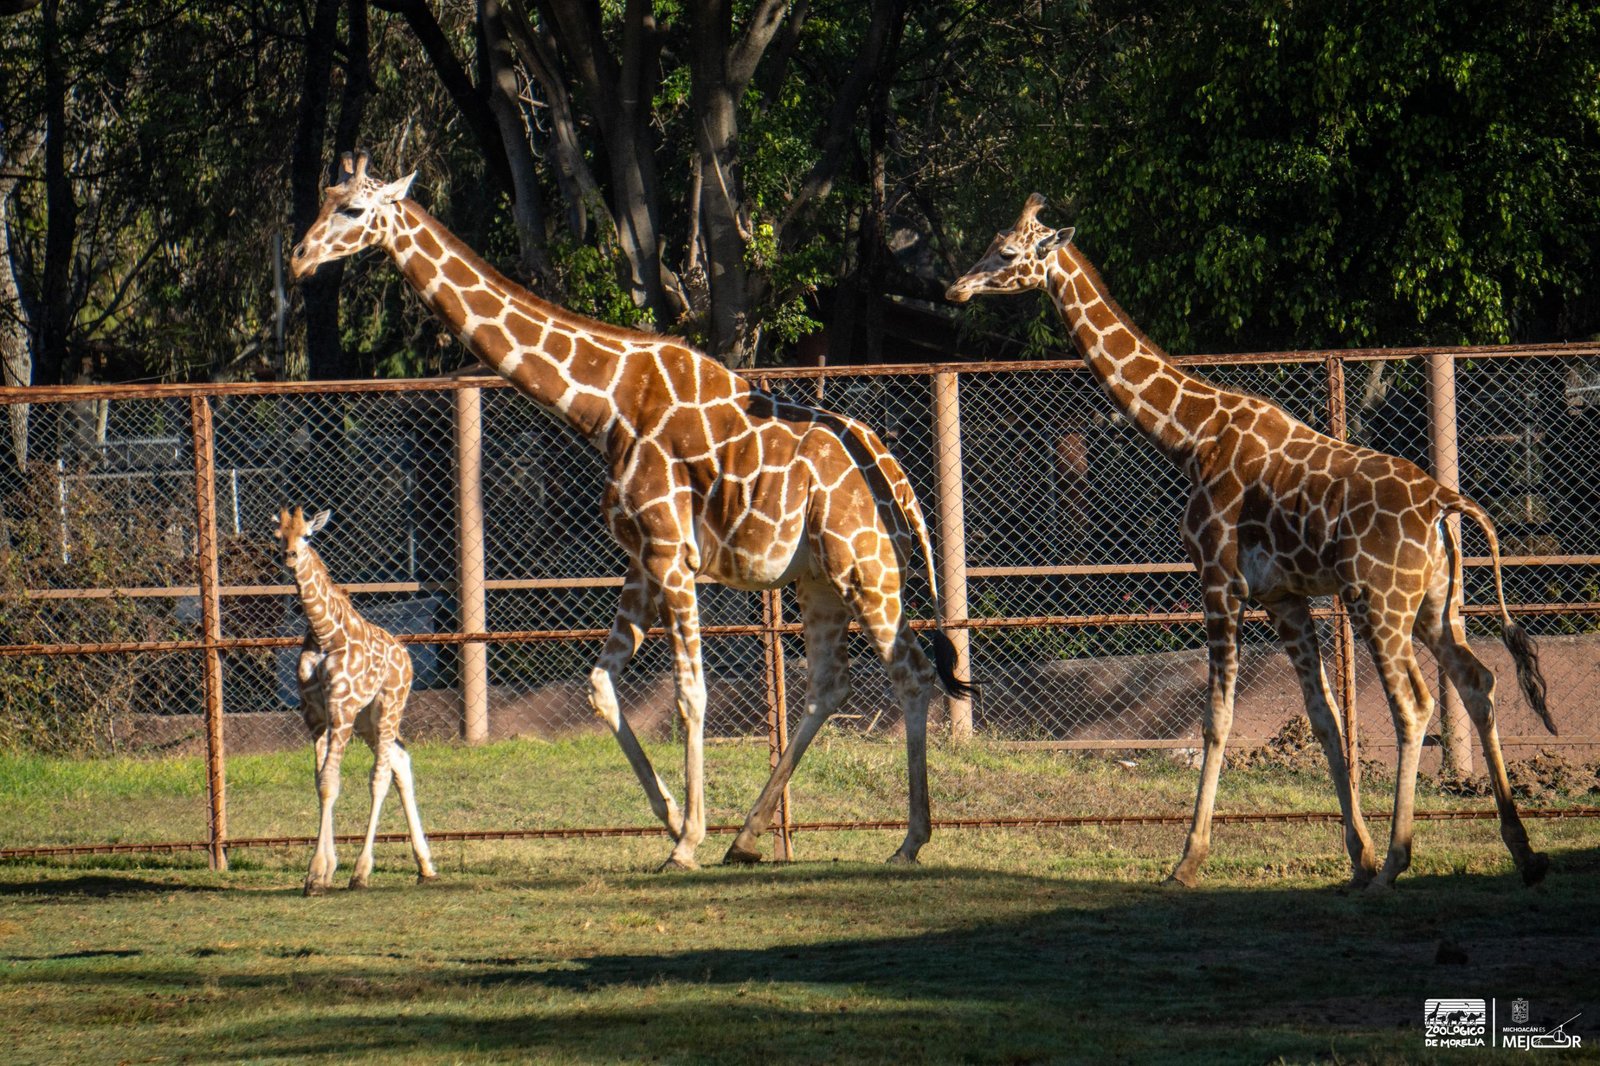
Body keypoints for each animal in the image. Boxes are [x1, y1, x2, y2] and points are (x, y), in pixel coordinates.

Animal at [276, 506, 438, 895]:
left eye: (307, 535)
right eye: (278, 536)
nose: (290, 556)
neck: (324, 633)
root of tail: (406, 657)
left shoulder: (342, 709)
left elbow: (331, 782)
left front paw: (318, 873)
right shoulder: (315, 717)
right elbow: (322, 783)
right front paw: (322, 871)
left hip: (387, 708)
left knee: (380, 776)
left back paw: (362, 872)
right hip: (369, 721)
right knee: (399, 761)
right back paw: (425, 866)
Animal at [289, 151, 973, 870]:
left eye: (354, 209)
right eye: (324, 196)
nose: (300, 259)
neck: (605, 402)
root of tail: (898, 481)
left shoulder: (673, 554)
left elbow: (690, 694)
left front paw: (687, 840)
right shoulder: (644, 560)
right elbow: (599, 684)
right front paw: (673, 820)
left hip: (865, 566)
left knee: (912, 672)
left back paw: (908, 840)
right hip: (817, 579)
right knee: (829, 685)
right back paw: (749, 837)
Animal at [947, 194, 1557, 890]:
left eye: (1007, 253)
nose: (956, 288)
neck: (1190, 434)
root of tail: (1442, 504)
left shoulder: (1217, 578)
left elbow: (1217, 718)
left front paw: (1188, 860)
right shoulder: (1283, 597)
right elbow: (1324, 718)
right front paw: (1356, 856)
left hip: (1378, 601)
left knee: (1414, 703)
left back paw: (1399, 862)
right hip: (1436, 604)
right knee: (1478, 682)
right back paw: (1522, 852)